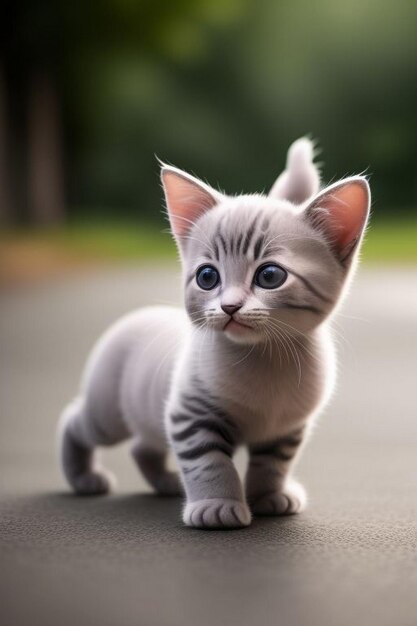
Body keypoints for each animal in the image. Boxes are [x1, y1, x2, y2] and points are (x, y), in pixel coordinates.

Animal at [57, 138, 368, 528]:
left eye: (270, 276)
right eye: (208, 277)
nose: (229, 306)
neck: (266, 359)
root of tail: (136, 316)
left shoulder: (287, 427)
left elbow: (273, 464)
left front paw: (269, 495)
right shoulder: (190, 414)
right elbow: (210, 463)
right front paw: (217, 506)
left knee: (142, 446)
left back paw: (166, 482)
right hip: (108, 412)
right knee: (75, 421)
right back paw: (82, 477)